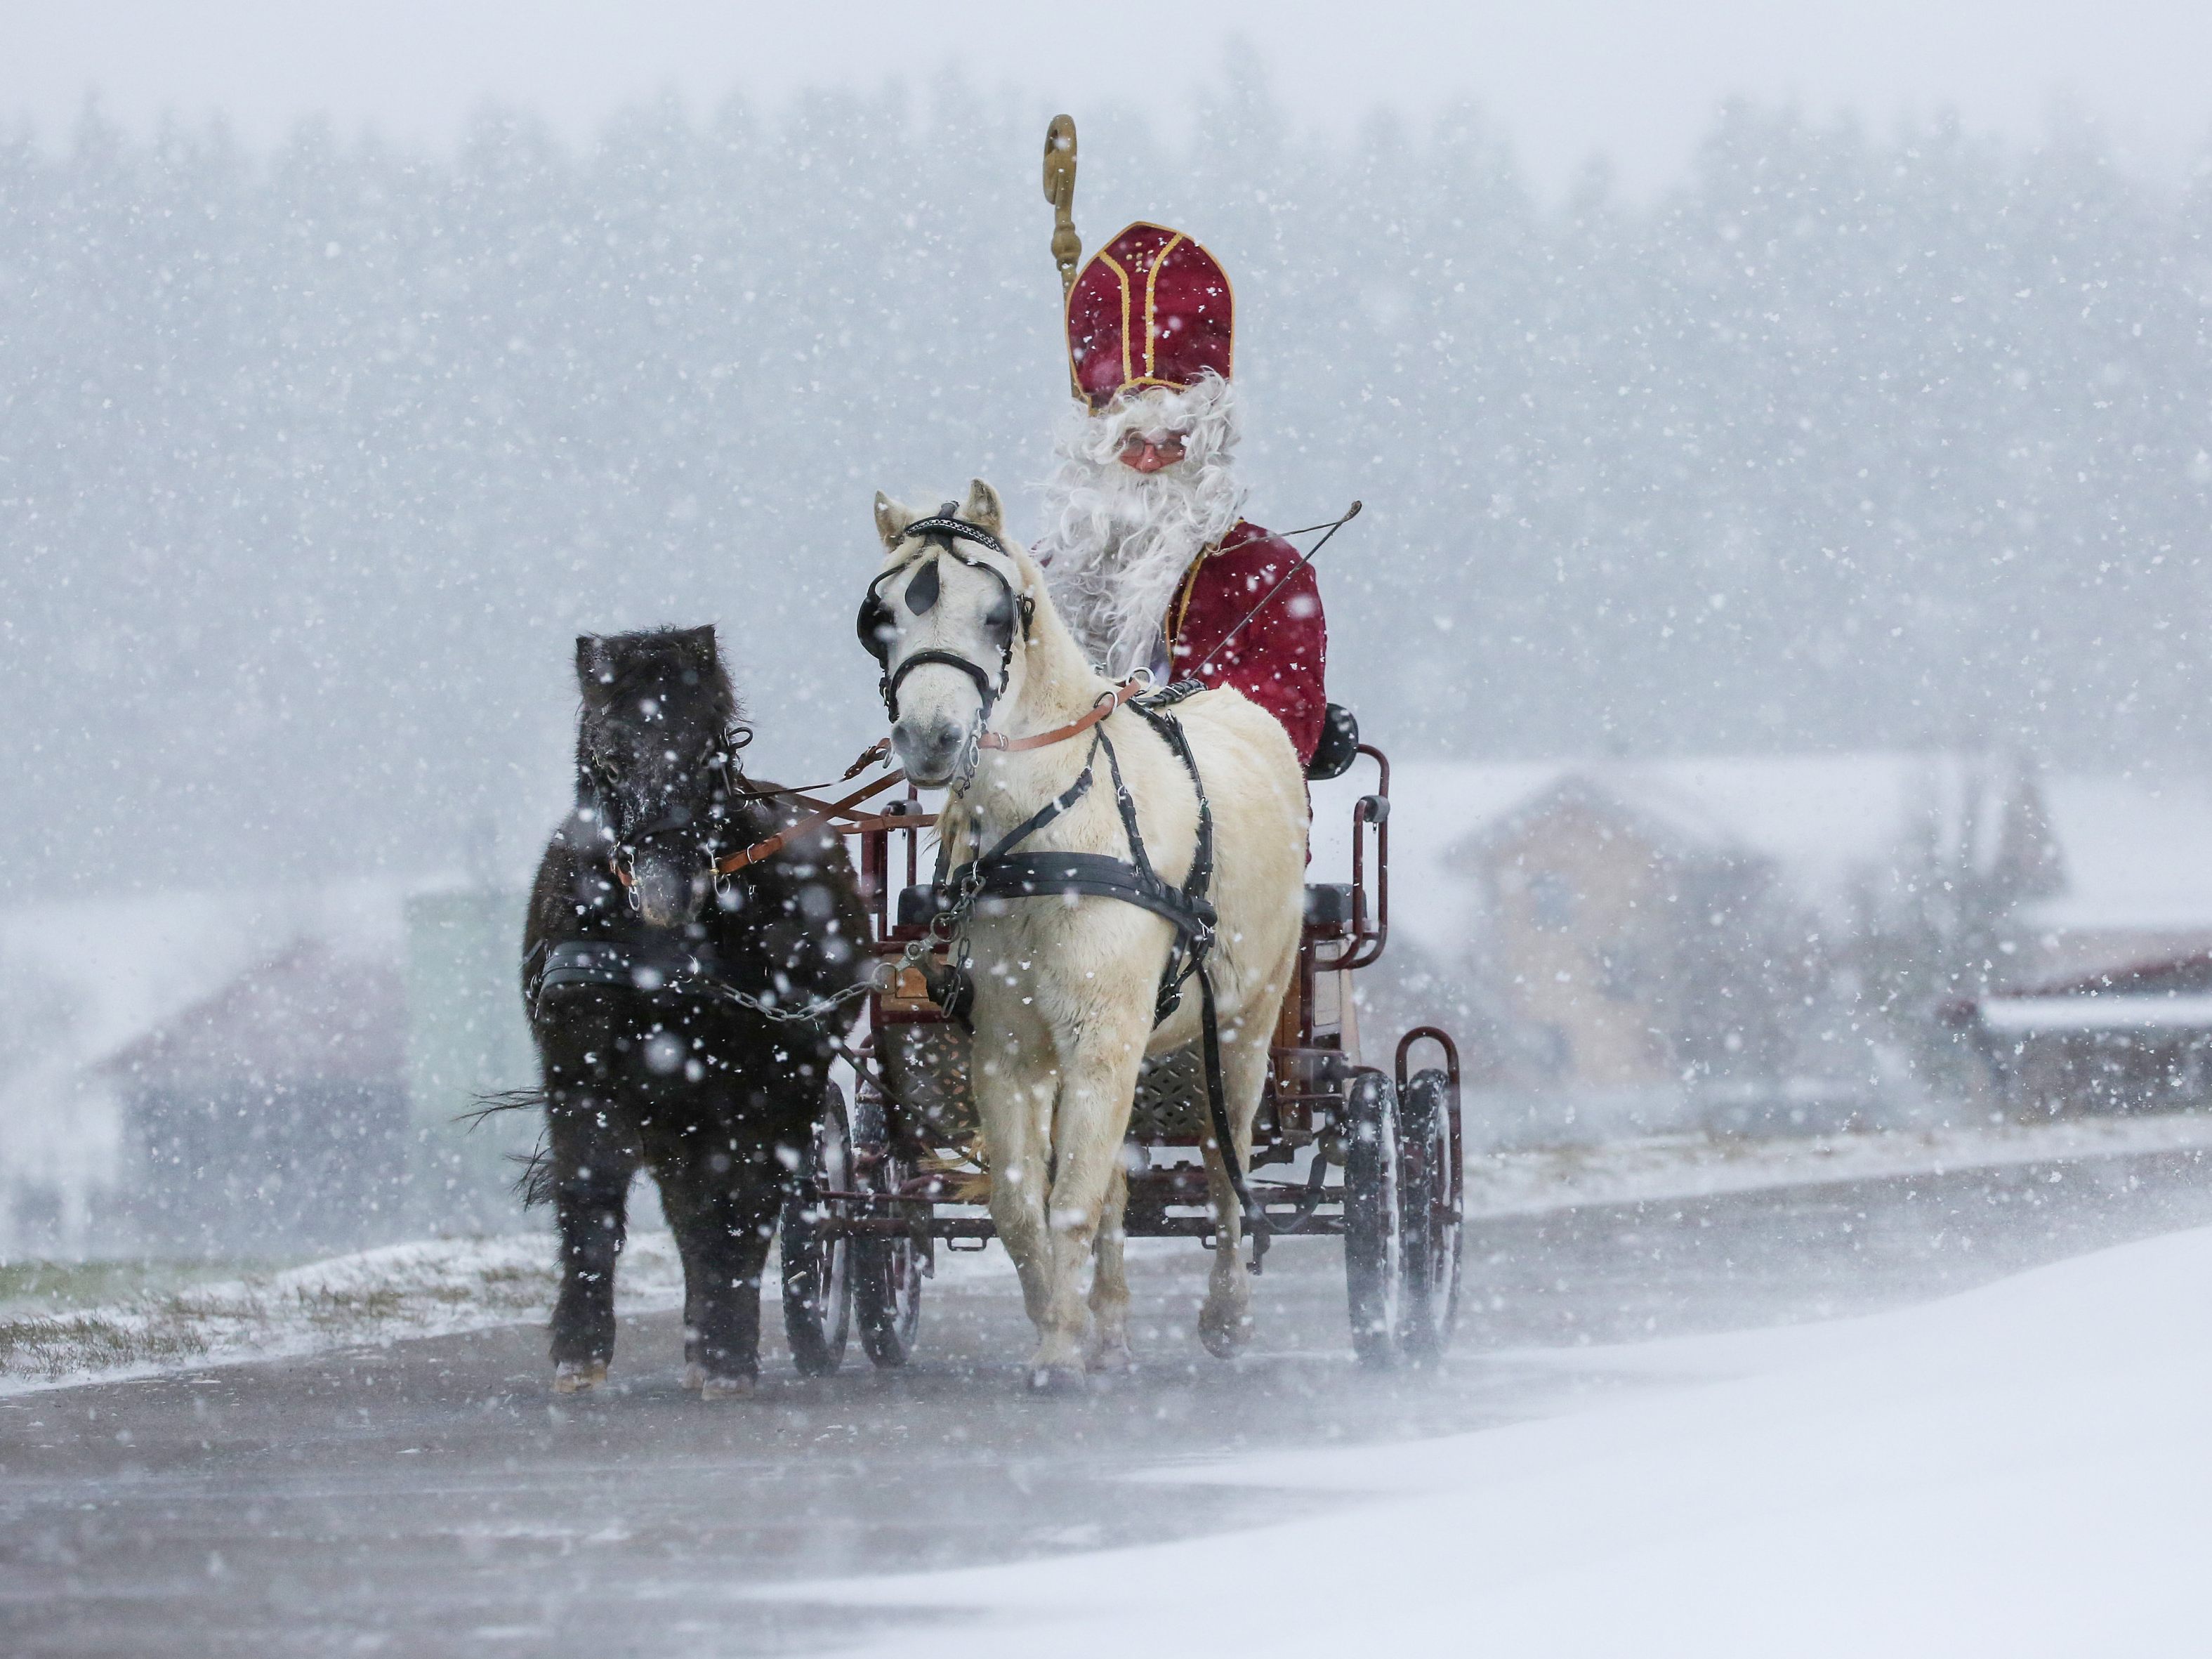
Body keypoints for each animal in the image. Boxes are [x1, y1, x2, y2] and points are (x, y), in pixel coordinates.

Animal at [522, 624, 867, 1406]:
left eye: (709, 748)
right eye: (609, 757)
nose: (665, 891)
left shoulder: (760, 1088)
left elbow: (743, 1211)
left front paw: (729, 1354)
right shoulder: (581, 1076)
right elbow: (590, 1197)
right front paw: (579, 1352)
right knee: (690, 1211)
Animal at [862, 478, 1309, 1389]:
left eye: (998, 613)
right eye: (879, 615)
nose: (930, 739)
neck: (1049, 831)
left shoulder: (1102, 1030)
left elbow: (1071, 1198)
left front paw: (1061, 1352)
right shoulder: (1009, 1042)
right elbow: (1023, 1201)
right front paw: (1060, 1326)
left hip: (1246, 1022)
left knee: (1226, 1161)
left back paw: (1226, 1314)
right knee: (1114, 1182)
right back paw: (1109, 1327)